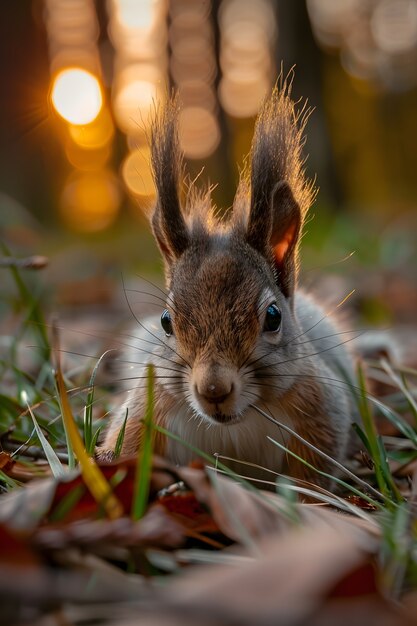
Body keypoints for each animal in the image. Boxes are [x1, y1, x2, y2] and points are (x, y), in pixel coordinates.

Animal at [97, 79, 358, 488]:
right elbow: (128, 447)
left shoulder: (321, 412)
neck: (237, 422)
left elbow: (312, 478)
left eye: (273, 317)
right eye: (166, 322)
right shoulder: (146, 410)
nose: (213, 389)